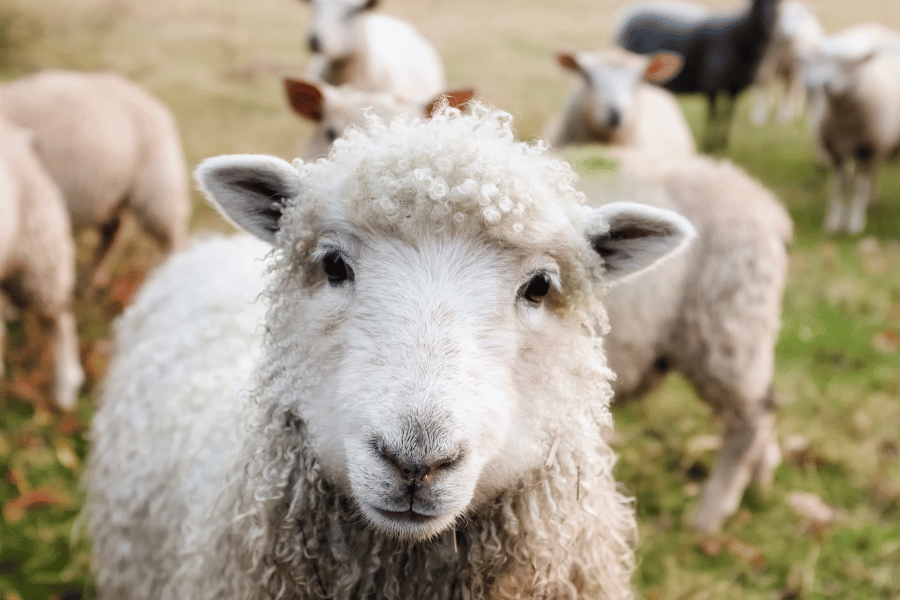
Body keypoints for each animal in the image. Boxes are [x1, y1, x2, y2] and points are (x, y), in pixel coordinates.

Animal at [0, 70, 191, 288]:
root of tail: (155, 104)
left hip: (158, 190)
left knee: (173, 238)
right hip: (112, 193)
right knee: (113, 232)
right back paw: (92, 279)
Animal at [615, 0, 781, 150]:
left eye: (779, 3)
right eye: (758, 3)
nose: (769, 23)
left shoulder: (734, 89)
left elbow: (728, 116)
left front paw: (722, 144)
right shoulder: (712, 85)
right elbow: (713, 116)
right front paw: (709, 144)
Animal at [803, 23, 900, 235]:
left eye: (849, 64)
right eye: (823, 60)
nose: (825, 85)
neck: (845, 121)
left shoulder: (869, 150)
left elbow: (859, 188)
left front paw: (855, 223)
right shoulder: (836, 151)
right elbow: (837, 187)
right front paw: (833, 222)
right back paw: (871, 200)